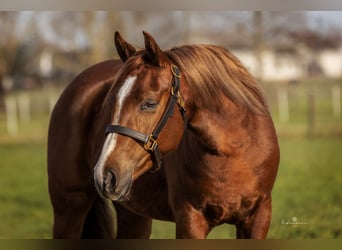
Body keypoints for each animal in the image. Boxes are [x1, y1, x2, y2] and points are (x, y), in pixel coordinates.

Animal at [46, 31, 280, 238]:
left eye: (149, 103)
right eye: (109, 101)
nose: (104, 175)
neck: (234, 151)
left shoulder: (259, 218)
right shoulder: (190, 221)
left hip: (133, 215)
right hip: (68, 208)